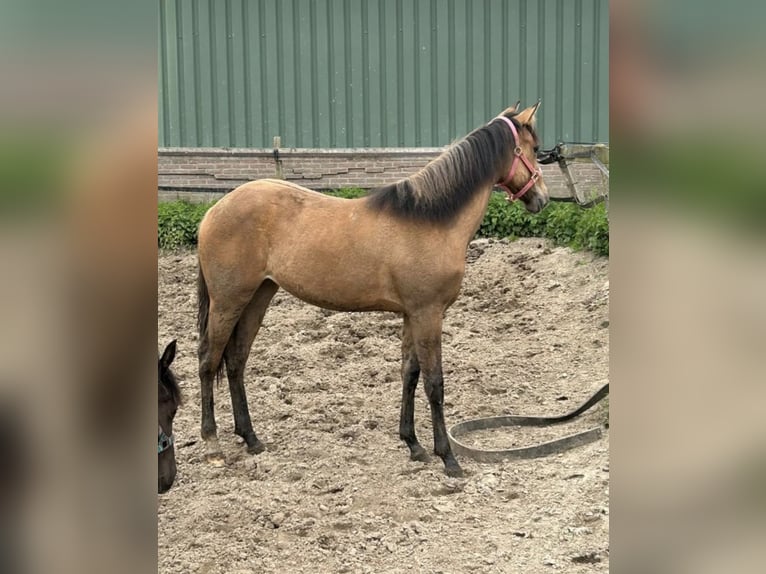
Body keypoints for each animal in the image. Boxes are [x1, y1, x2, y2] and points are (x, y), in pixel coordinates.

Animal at [195, 102, 548, 476]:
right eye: (534, 149)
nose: (542, 198)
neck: (430, 219)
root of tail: (214, 211)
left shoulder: (411, 314)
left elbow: (409, 374)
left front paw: (413, 444)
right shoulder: (428, 313)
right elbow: (434, 383)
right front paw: (448, 458)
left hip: (257, 297)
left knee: (235, 361)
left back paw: (250, 438)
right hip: (227, 301)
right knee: (208, 361)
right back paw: (212, 444)